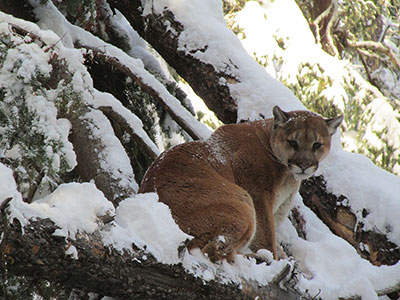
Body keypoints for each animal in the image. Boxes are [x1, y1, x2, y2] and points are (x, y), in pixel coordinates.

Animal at [139, 106, 342, 262]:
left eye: (317, 144)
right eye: (293, 142)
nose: (304, 165)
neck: (289, 177)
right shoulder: (258, 194)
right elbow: (267, 235)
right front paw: (275, 257)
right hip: (242, 204)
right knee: (214, 251)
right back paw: (260, 259)